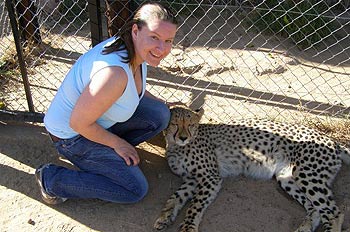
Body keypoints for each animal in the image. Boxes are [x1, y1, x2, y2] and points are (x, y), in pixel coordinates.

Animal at [154, 105, 348, 232]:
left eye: (190, 125)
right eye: (175, 124)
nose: (183, 137)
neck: (176, 147)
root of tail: (332, 140)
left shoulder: (210, 177)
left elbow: (194, 205)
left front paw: (188, 226)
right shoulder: (191, 179)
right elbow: (175, 198)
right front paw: (164, 218)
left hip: (306, 175)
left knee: (334, 212)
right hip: (287, 177)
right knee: (315, 208)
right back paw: (305, 227)